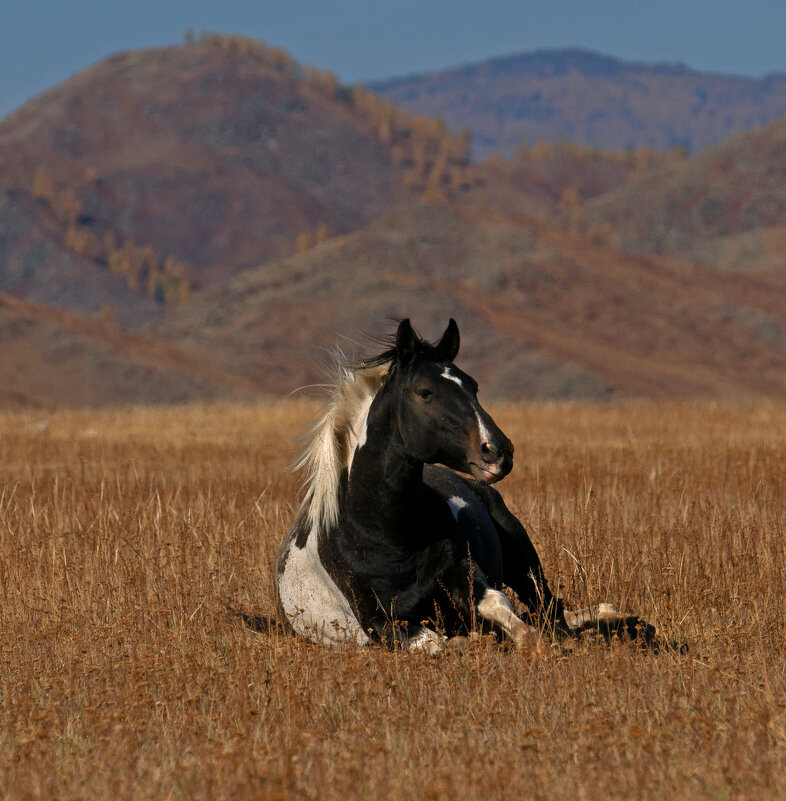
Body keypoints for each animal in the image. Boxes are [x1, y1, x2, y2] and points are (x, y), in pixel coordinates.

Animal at [272, 316, 652, 652]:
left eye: (473, 385)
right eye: (425, 392)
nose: (498, 451)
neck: (382, 539)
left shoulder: (465, 574)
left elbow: (497, 604)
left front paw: (530, 642)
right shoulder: (377, 622)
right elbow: (432, 642)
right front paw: (472, 641)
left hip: (522, 554)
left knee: (550, 610)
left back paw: (617, 620)